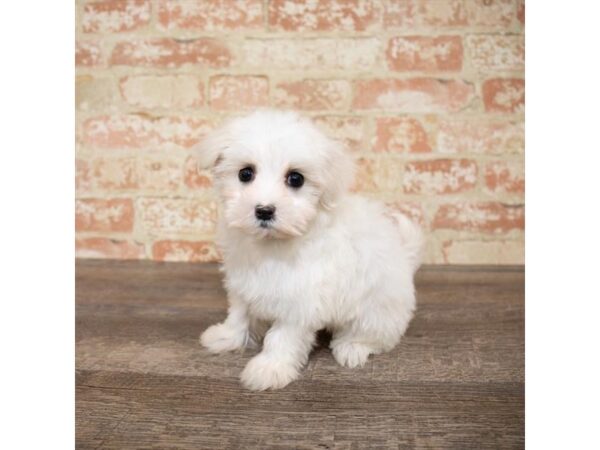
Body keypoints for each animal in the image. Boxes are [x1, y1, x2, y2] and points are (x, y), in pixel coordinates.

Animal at [197, 110, 422, 390]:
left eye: (296, 178)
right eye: (245, 174)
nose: (264, 210)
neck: (272, 244)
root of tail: (404, 257)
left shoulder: (300, 300)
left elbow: (282, 336)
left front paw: (269, 368)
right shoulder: (242, 282)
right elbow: (239, 313)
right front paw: (226, 337)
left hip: (377, 308)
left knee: (375, 335)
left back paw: (352, 348)